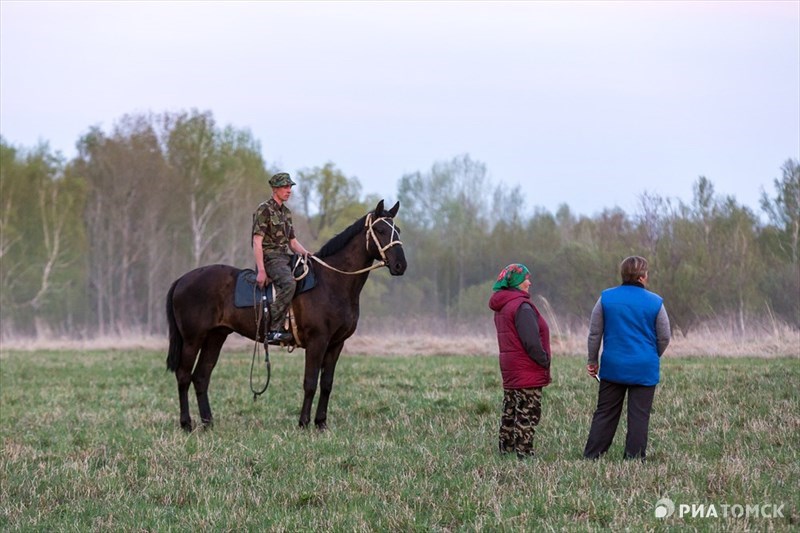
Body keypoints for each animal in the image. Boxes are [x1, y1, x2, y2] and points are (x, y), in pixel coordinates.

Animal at [167, 197, 406, 430]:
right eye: (381, 230)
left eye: (398, 231)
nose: (400, 265)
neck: (332, 282)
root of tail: (182, 279)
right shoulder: (317, 342)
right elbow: (310, 383)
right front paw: (303, 423)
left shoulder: (336, 344)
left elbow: (326, 384)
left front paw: (321, 423)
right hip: (193, 339)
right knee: (184, 375)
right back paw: (186, 423)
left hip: (215, 337)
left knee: (201, 377)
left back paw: (208, 423)